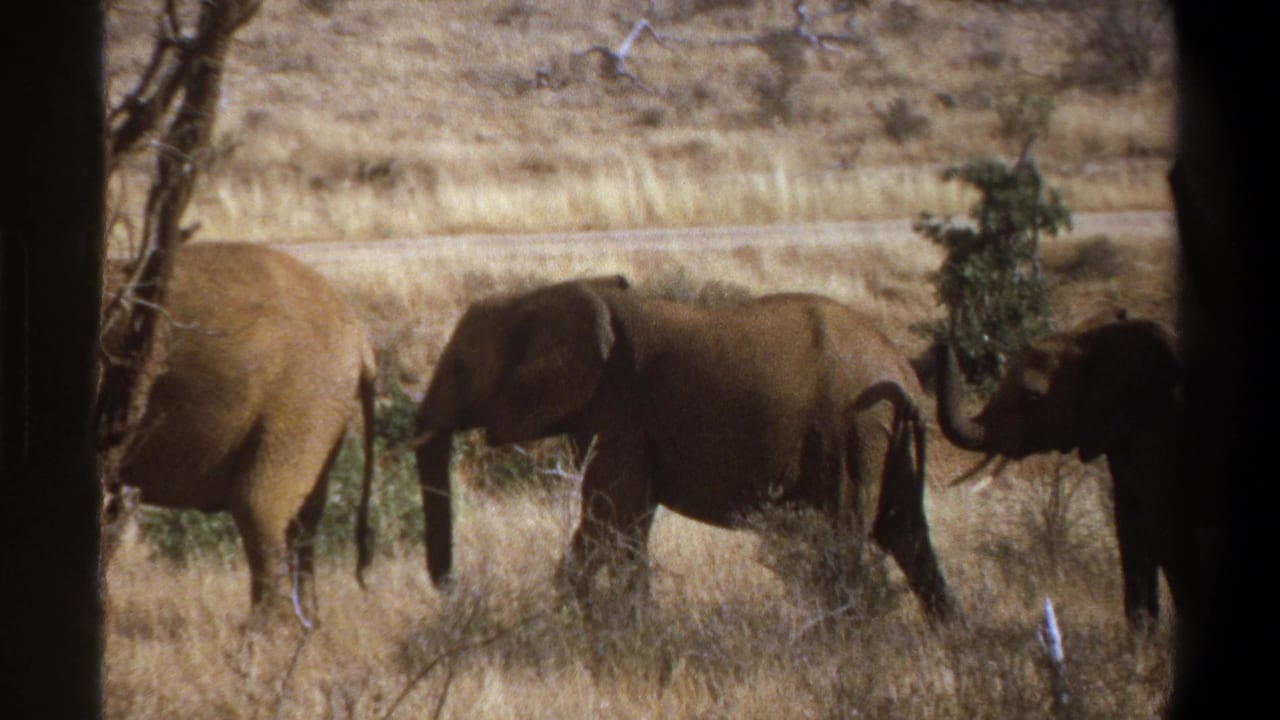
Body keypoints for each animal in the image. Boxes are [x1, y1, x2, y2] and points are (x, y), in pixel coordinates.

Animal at [102, 242, 377, 627]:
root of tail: (359, 338)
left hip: (300, 400)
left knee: (259, 506)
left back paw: (266, 636)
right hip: (320, 409)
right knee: (304, 518)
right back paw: (306, 628)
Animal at [413, 275, 957, 621]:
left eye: (460, 368)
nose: (451, 590)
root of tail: (903, 372)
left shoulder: (623, 412)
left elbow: (607, 517)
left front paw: (585, 624)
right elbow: (630, 525)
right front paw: (633, 623)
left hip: (850, 432)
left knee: (844, 538)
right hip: (884, 438)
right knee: (907, 534)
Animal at [933, 310, 1203, 631]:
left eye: (1033, 398)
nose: (942, 338)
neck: (1093, 340)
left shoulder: (1160, 430)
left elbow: (1162, 525)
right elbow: (1129, 522)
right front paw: (1141, 638)